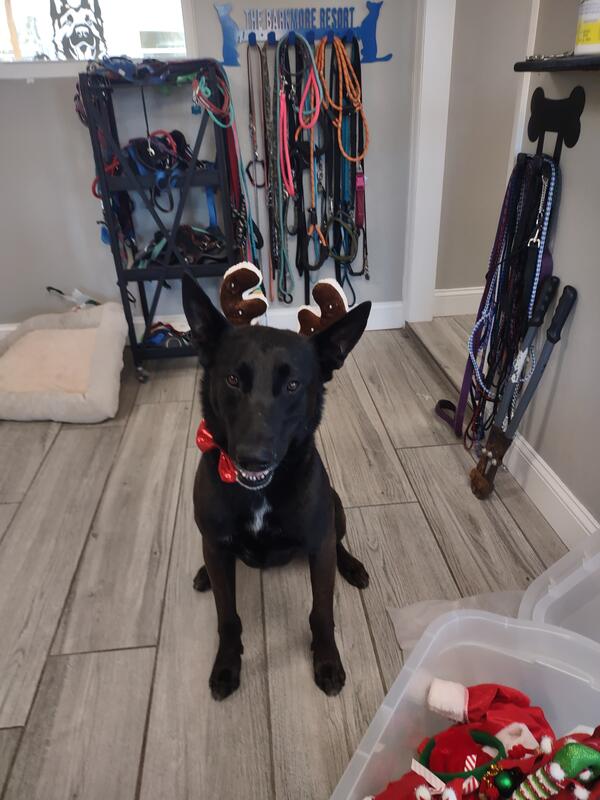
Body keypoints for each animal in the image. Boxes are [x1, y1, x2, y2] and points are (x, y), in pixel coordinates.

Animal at [182, 273, 371, 699]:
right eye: (233, 379)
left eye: (294, 385)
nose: (254, 458)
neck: (260, 494)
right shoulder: (216, 543)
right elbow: (227, 616)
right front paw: (227, 665)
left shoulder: (318, 545)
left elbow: (322, 612)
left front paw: (327, 661)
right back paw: (203, 573)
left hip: (336, 508)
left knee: (338, 541)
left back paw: (352, 566)